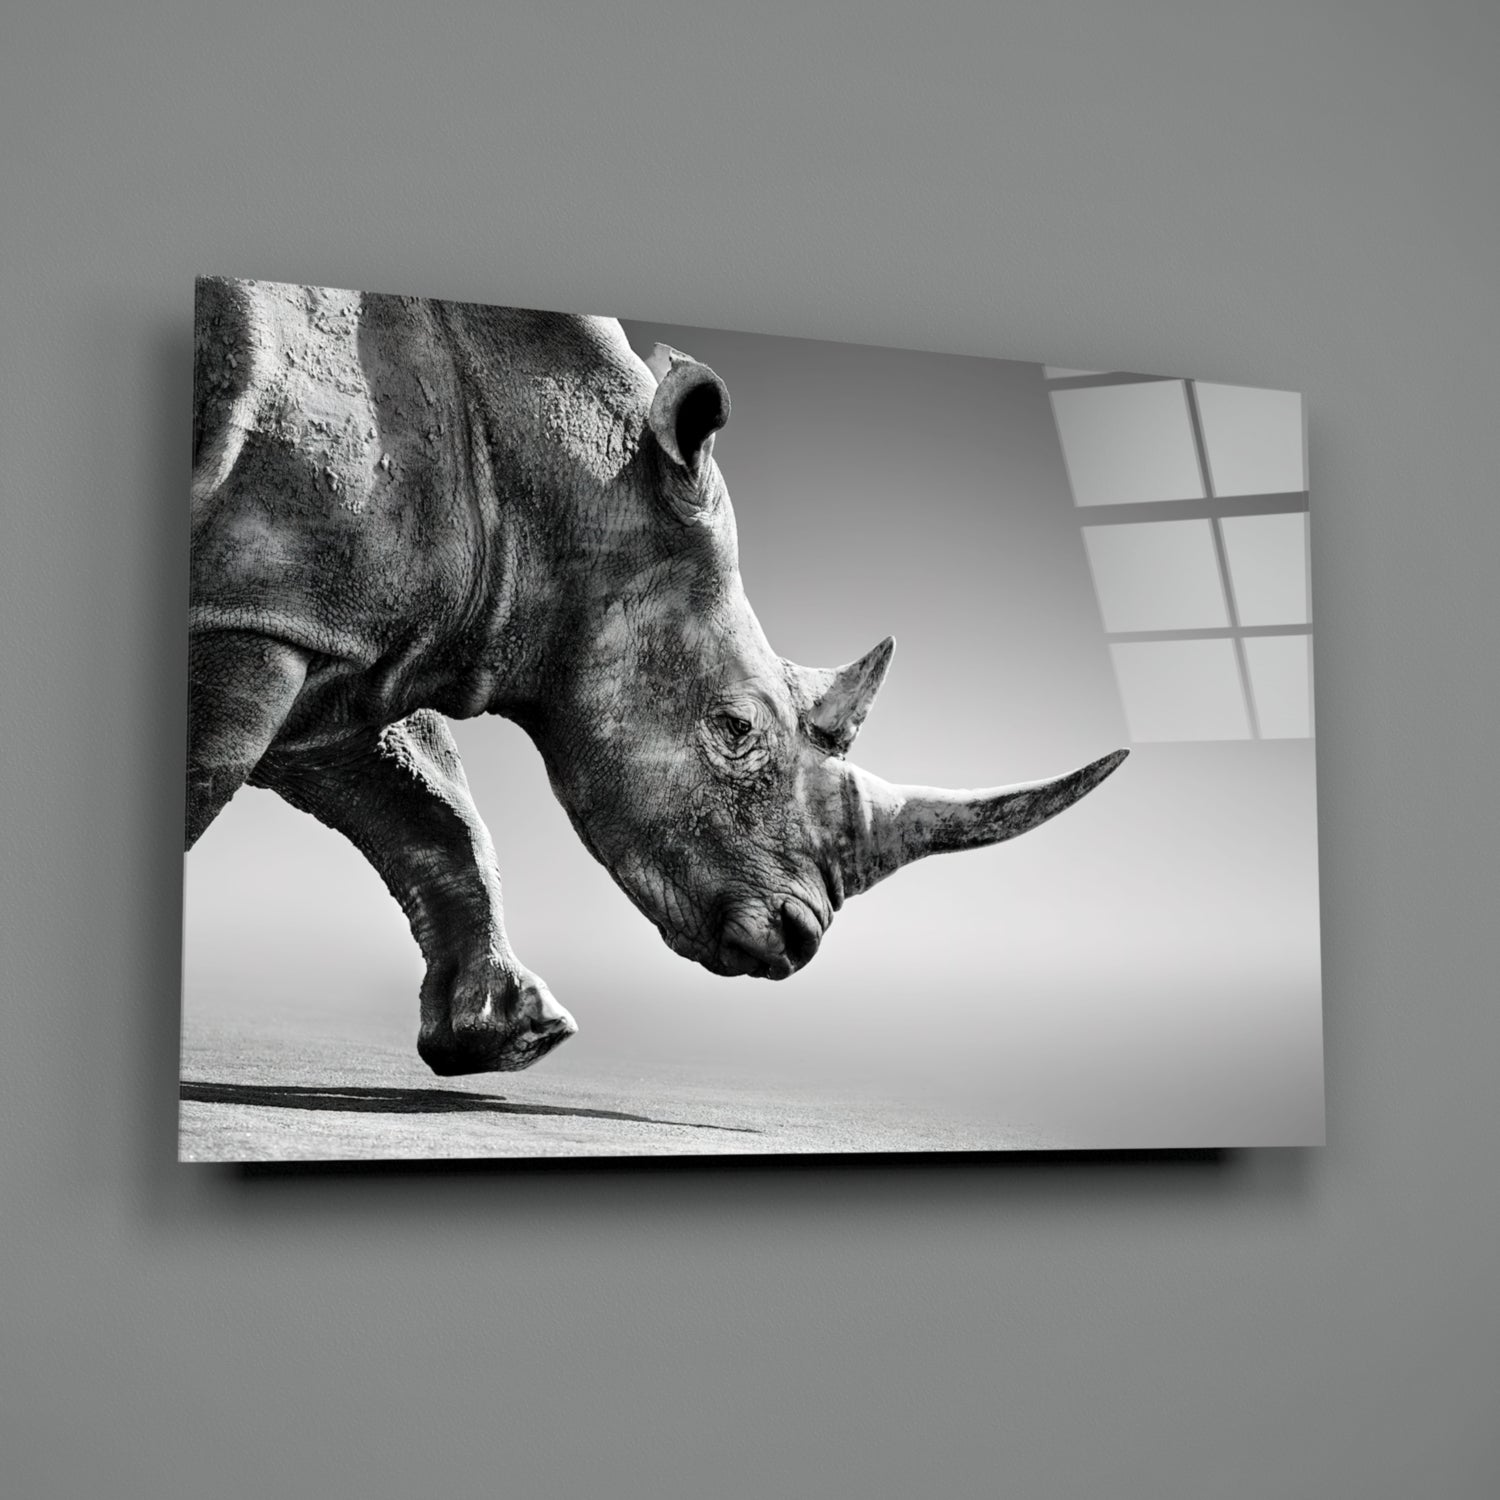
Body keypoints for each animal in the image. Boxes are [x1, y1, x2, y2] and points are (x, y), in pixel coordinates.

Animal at [188, 278, 1126, 1075]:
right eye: (736, 730)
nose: (800, 939)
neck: (565, 481)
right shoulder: (259, 611)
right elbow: (210, 775)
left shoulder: (325, 618)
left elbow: (423, 798)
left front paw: (513, 1039)